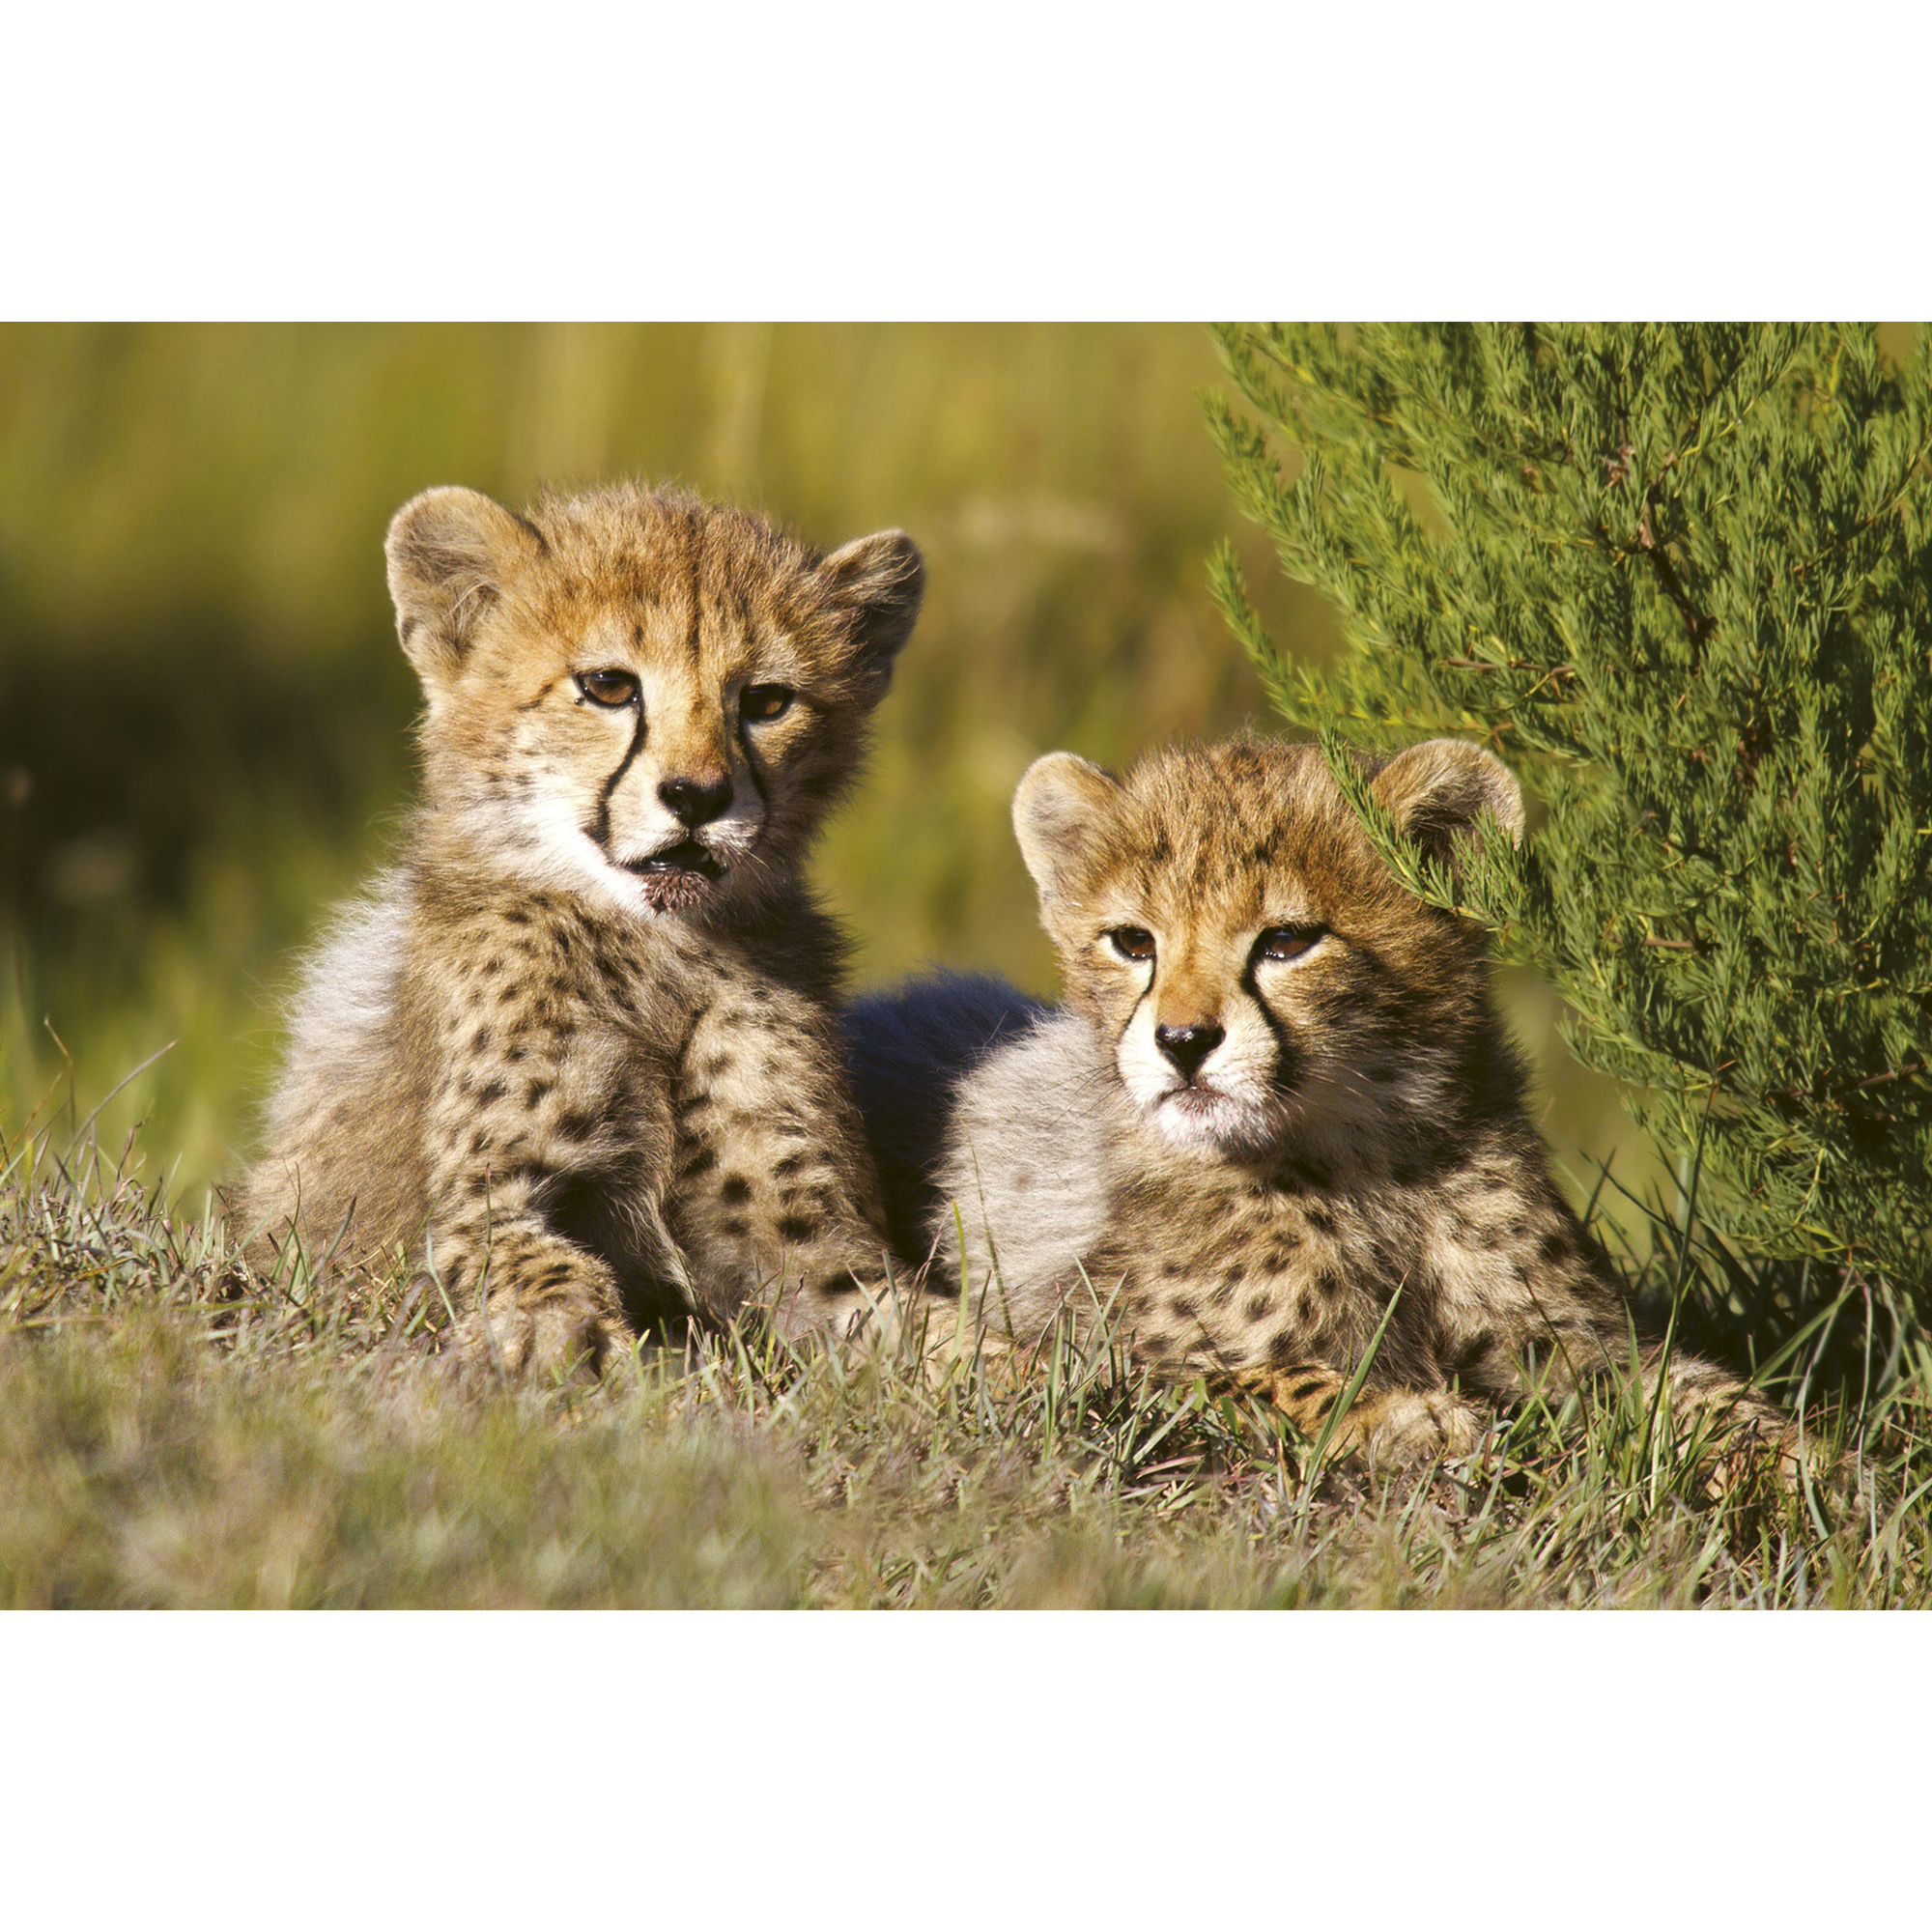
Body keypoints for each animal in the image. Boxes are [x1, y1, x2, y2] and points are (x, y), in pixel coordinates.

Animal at [243, 479, 941, 1377]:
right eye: (609, 687)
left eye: (766, 702)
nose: (697, 797)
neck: (657, 949)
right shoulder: (480, 1210)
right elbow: (541, 1267)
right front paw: (563, 1341)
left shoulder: (806, 1249)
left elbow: (934, 1328)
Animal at [844, 734, 1804, 1488]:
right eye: (1132, 943)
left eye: (1286, 942)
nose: (1182, 1041)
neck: (1367, 1159)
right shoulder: (1089, 1355)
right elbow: (1263, 1377)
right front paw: (1399, 1416)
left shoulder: (1568, 1344)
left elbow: (1695, 1390)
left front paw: (1805, 1467)